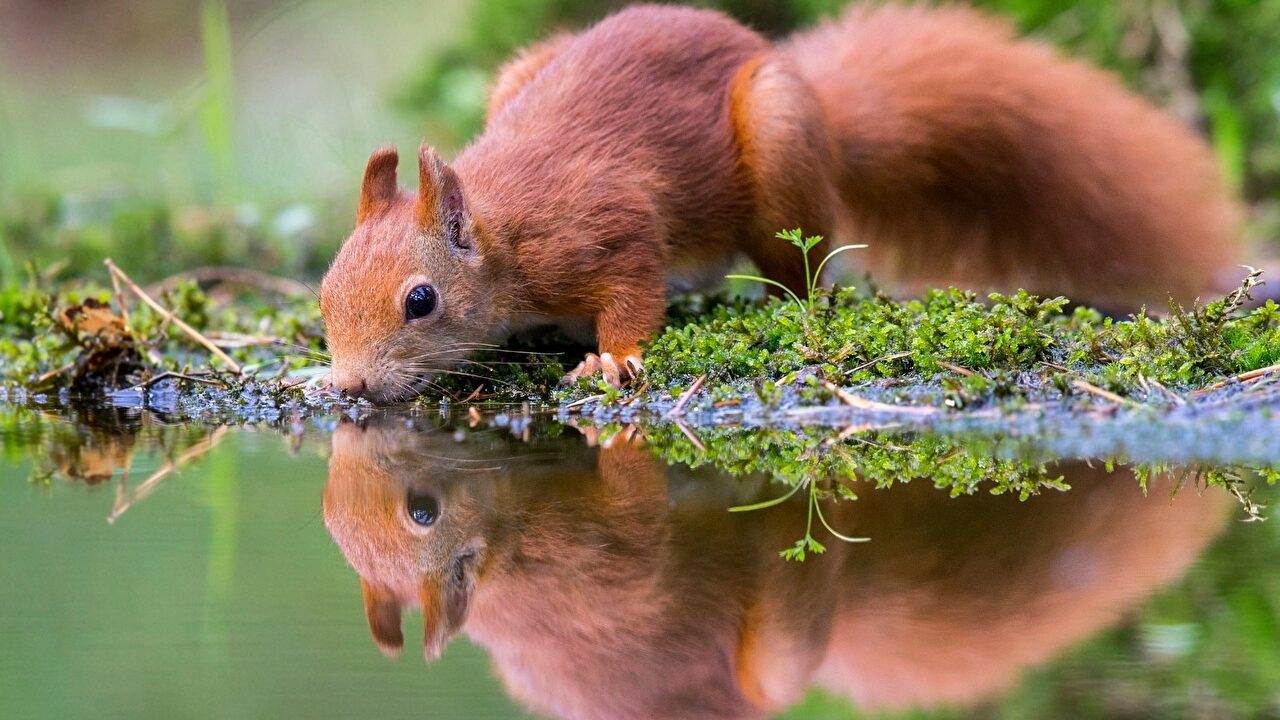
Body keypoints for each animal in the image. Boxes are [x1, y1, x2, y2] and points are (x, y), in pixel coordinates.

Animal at [317, 1, 1239, 397]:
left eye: (421, 301)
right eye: (324, 293)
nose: (352, 387)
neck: (504, 233)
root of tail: (819, 102)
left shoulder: (606, 230)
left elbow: (633, 291)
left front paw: (614, 358)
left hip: (780, 148)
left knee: (805, 269)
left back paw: (782, 302)